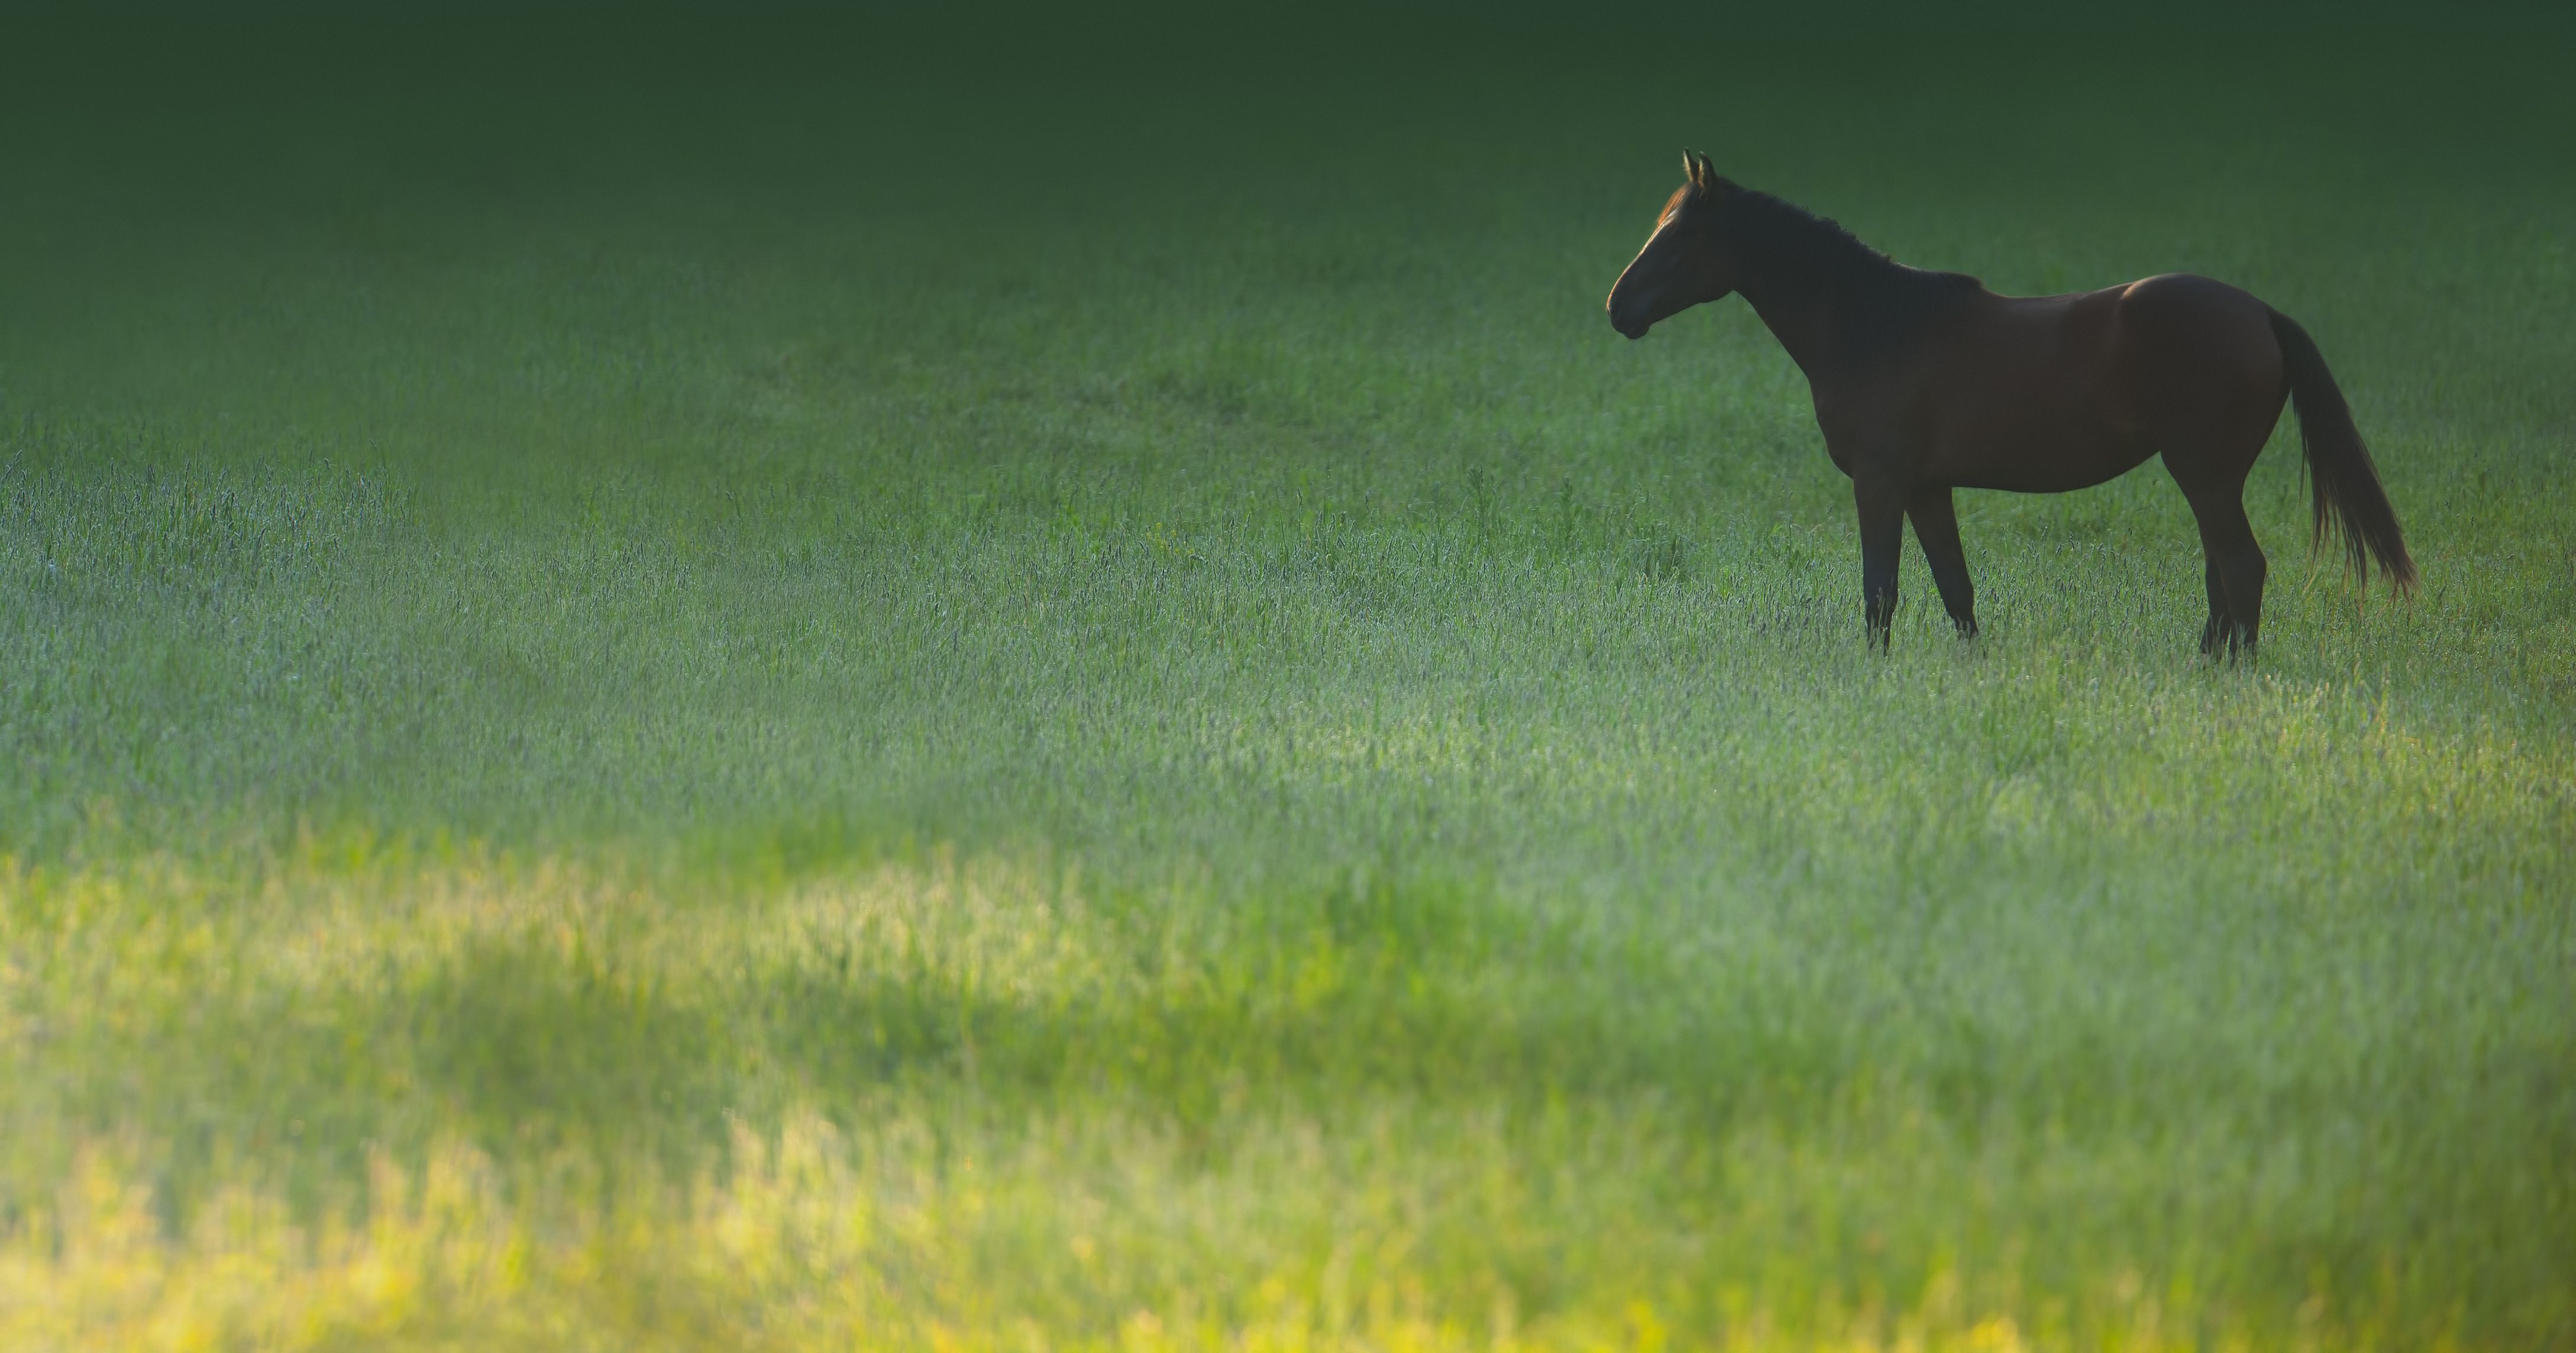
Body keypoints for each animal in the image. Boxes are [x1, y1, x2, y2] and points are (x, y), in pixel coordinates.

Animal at [1607, 150, 2411, 652]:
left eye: (1679, 235)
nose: (1617, 307)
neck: (1872, 321)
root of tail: (2261, 314)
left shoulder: (1879, 482)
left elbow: (1879, 592)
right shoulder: (1926, 487)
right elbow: (1954, 590)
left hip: (2204, 475)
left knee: (2240, 569)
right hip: (2210, 480)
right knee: (2223, 574)